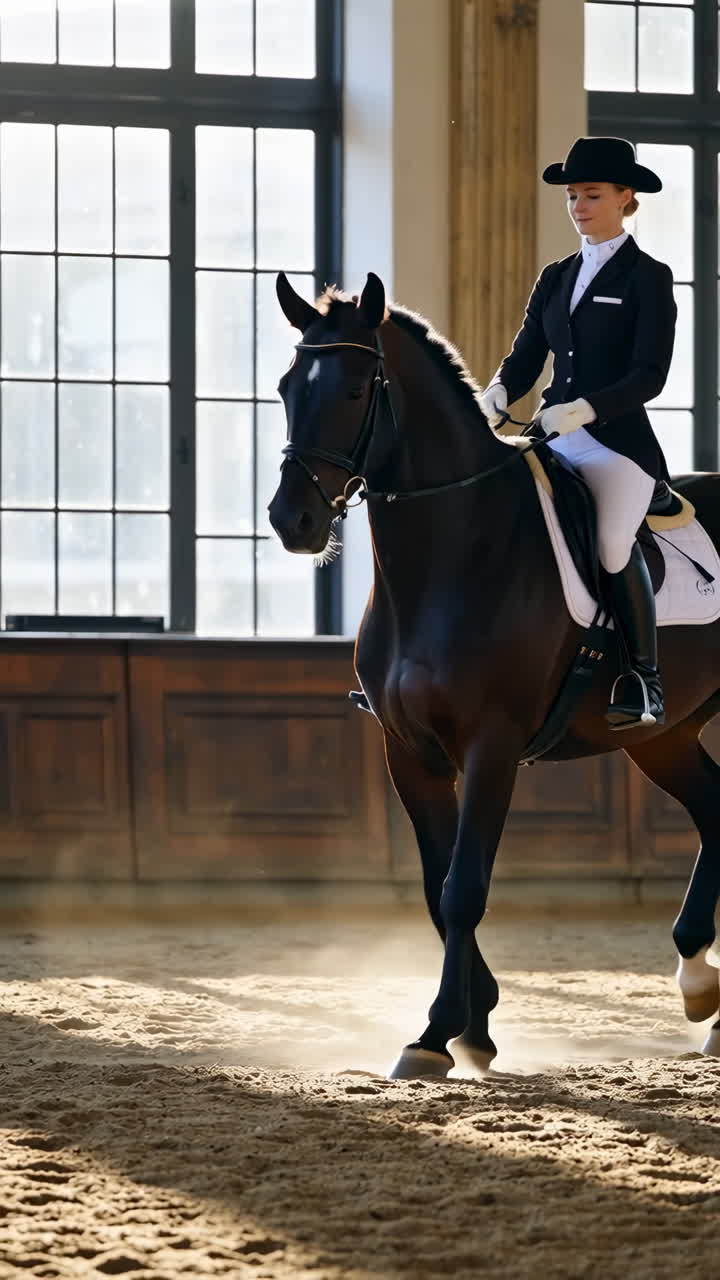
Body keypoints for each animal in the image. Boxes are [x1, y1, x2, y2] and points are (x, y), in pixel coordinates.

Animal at [268, 270, 720, 1080]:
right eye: (288, 386)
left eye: (355, 389)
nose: (294, 521)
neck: (452, 554)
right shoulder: (408, 753)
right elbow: (435, 883)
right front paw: (476, 1025)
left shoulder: (492, 744)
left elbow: (463, 888)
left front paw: (435, 1032)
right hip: (663, 735)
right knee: (716, 811)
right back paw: (701, 987)